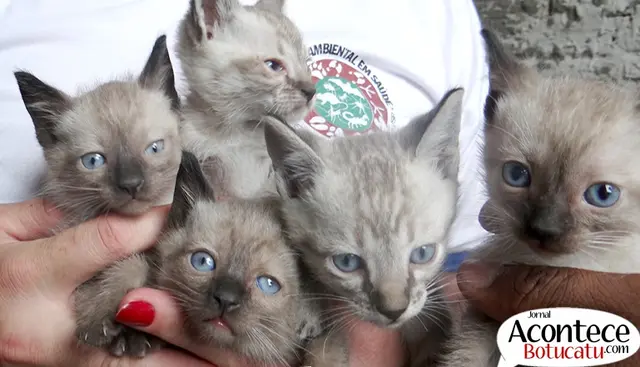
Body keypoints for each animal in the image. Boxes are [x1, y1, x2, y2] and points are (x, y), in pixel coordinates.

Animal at [14, 36, 182, 358]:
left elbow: (143, 264)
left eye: (154, 148)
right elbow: (126, 264)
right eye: (93, 161)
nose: (131, 184)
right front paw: (103, 322)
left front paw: (134, 335)